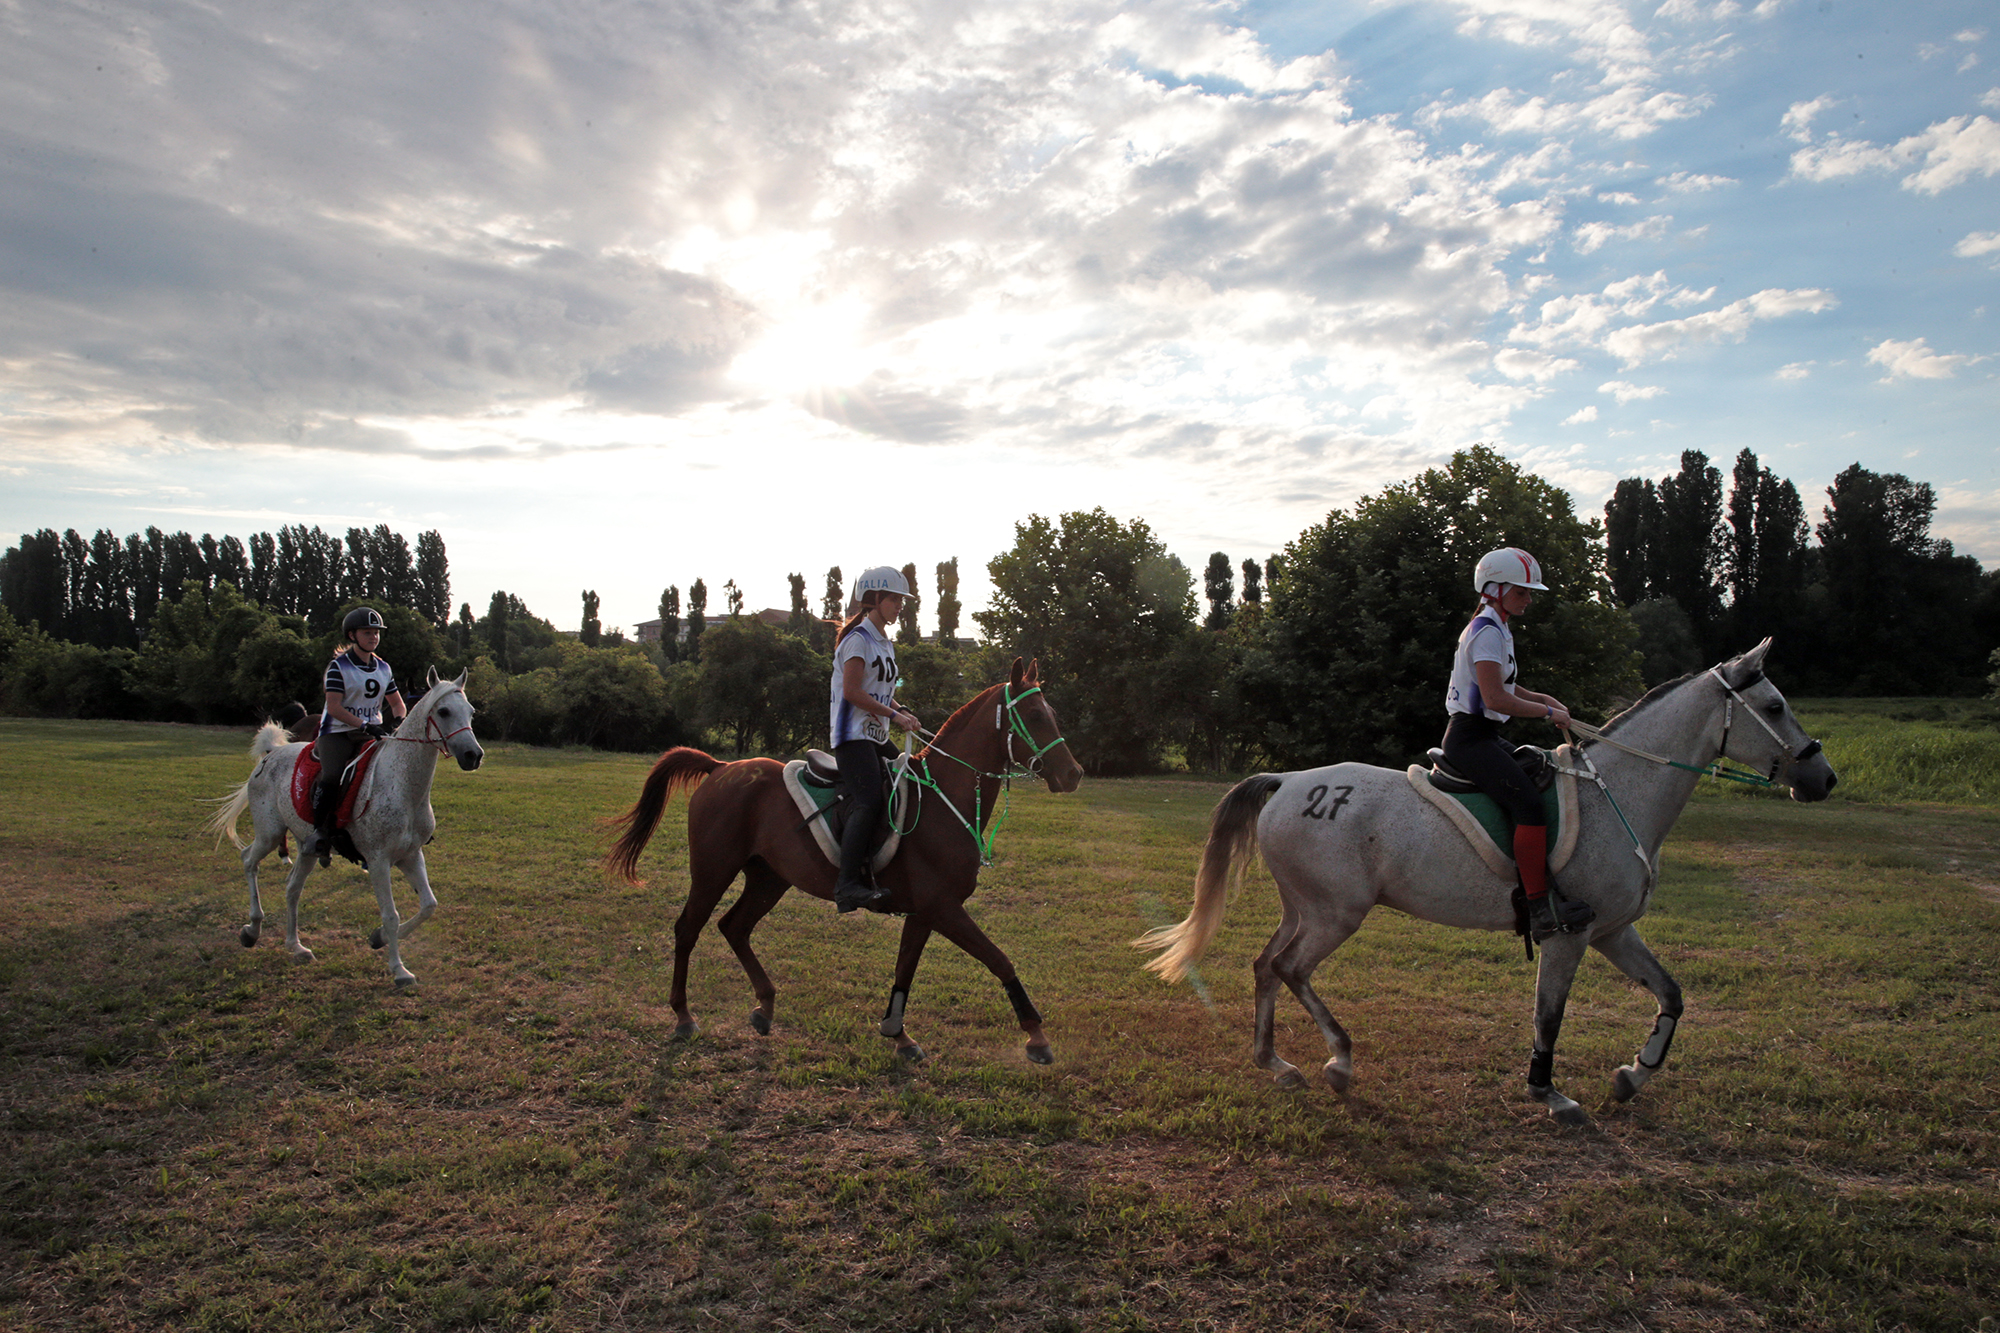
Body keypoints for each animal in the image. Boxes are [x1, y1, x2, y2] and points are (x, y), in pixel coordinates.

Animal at [204, 668, 485, 989]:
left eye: (471, 712)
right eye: (443, 711)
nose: (473, 755)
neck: (403, 785)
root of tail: (271, 753)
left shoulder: (411, 855)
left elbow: (428, 905)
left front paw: (378, 939)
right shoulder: (378, 860)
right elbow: (390, 914)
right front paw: (399, 969)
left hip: (306, 847)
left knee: (292, 888)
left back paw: (295, 946)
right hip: (269, 833)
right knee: (249, 860)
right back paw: (252, 929)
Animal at [603, 657, 1083, 1064]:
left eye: (1051, 712)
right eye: (1035, 715)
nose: (1073, 774)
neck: (944, 800)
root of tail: (720, 767)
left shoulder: (925, 912)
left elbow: (905, 970)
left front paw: (898, 1034)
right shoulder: (944, 908)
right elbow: (999, 960)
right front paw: (1036, 1037)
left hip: (769, 878)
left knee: (734, 926)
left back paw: (765, 1006)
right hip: (712, 869)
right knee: (688, 928)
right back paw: (684, 1016)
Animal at [1135, 640, 1837, 1125]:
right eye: (1775, 706)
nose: (1823, 779)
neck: (1619, 794)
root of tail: (1287, 782)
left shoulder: (1612, 931)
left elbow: (1671, 994)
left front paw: (1633, 1076)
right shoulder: (1569, 936)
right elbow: (1548, 1016)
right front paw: (1550, 1093)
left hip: (1305, 908)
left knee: (1265, 966)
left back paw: (1275, 1063)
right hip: (1336, 914)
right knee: (1291, 969)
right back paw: (1339, 1060)